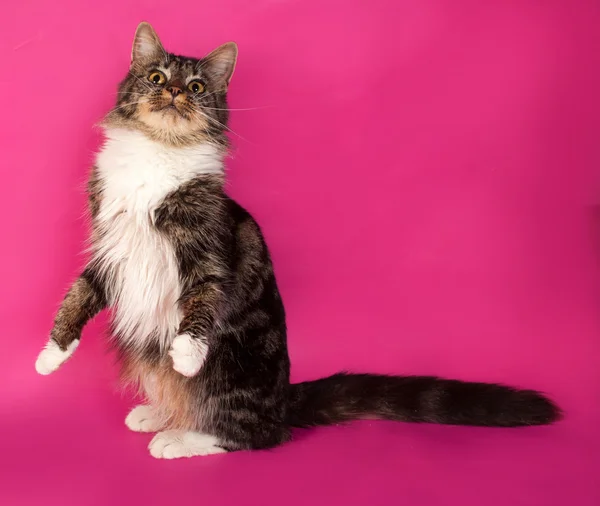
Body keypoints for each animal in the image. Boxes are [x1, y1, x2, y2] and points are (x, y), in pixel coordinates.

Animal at [35, 22, 564, 458]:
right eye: (157, 78)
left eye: (197, 87)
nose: (175, 95)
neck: (158, 154)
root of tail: (283, 397)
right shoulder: (111, 245)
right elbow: (79, 293)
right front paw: (50, 358)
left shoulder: (207, 249)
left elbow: (200, 299)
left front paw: (184, 353)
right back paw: (157, 414)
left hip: (231, 367)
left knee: (257, 433)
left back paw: (181, 437)